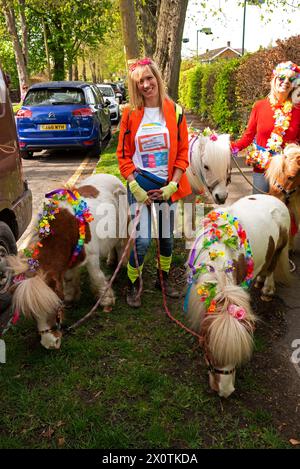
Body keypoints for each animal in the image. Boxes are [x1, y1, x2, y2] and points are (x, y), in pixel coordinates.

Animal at [5, 172, 127, 348]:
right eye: (33, 315)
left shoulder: (91, 258)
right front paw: (70, 297)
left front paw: (106, 300)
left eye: (54, 307)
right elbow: (69, 279)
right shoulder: (68, 262)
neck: (67, 229)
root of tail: (110, 175)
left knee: (119, 245)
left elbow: (96, 278)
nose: (50, 344)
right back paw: (111, 260)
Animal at [185, 193, 290, 394]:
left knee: (272, 266)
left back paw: (267, 290)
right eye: (209, 348)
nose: (225, 391)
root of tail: (275, 198)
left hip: (279, 247)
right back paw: (259, 280)